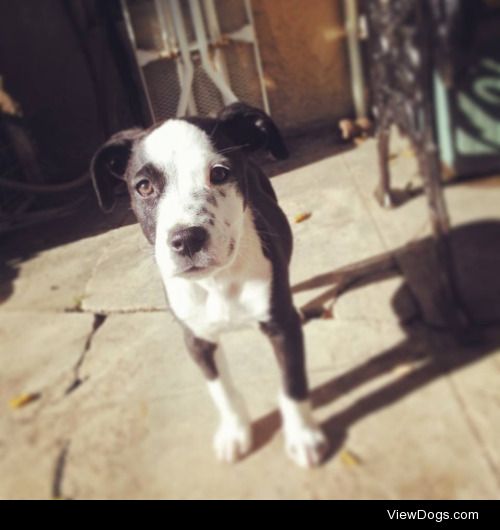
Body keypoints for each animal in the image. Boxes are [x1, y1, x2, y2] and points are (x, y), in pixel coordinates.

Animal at [91, 103, 328, 466]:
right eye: (144, 186)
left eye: (219, 173)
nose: (186, 239)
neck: (217, 283)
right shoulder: (197, 340)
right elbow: (222, 391)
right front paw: (235, 432)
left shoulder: (282, 329)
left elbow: (292, 382)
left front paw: (303, 436)